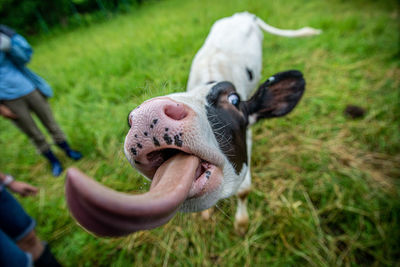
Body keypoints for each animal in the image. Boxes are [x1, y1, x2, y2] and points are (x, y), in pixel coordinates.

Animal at [66, 12, 322, 237]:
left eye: (234, 100)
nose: (146, 114)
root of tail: (242, 14)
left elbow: (245, 190)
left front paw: (241, 223)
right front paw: (207, 215)